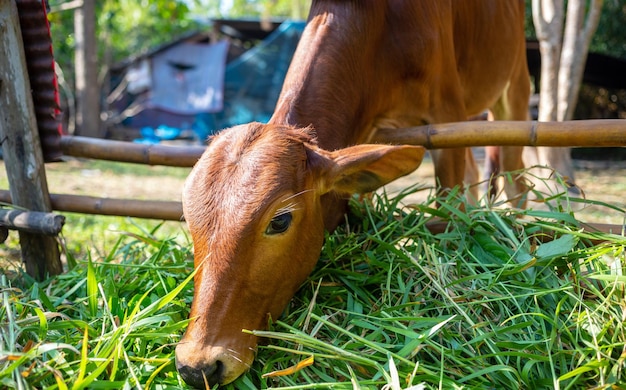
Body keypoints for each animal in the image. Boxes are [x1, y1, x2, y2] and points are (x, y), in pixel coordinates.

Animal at [174, 1, 528, 386]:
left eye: (280, 220)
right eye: (188, 217)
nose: (197, 366)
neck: (381, 33)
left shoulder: (447, 112)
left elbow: (448, 205)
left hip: (512, 89)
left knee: (514, 177)